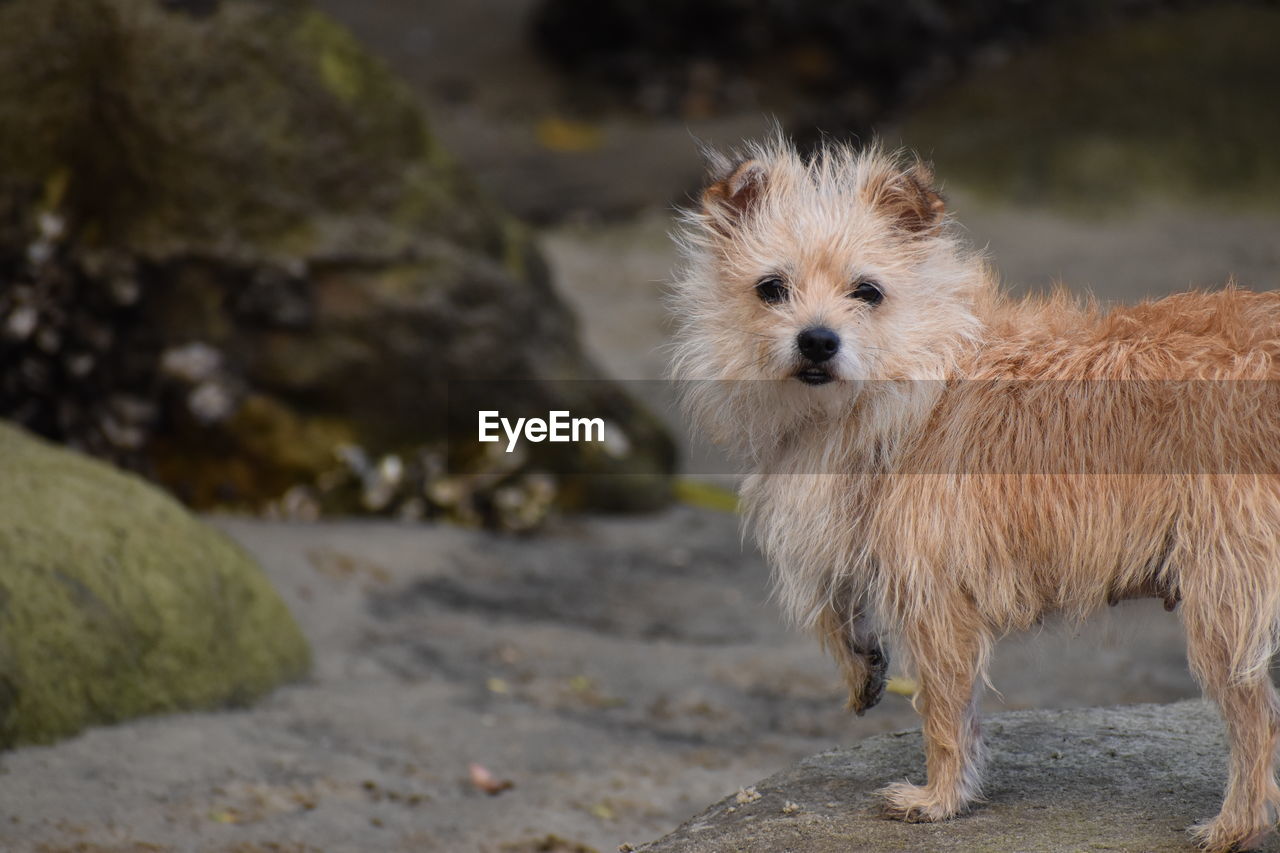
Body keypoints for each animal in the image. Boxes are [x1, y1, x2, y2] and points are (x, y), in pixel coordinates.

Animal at [665, 136, 1280, 845]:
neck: (915, 380)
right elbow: (842, 610)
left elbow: (945, 710)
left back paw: (1233, 827)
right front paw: (861, 668)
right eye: (771, 288)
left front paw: (939, 800)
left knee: (1255, 719)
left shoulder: (936, 599)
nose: (818, 339)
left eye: (868, 292)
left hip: (1222, 600)